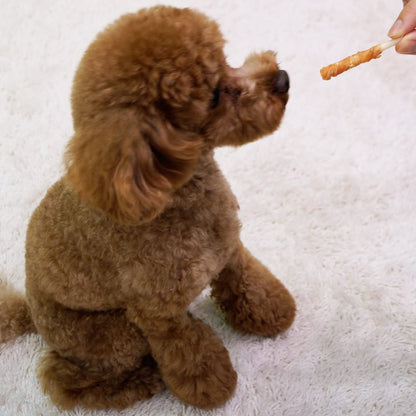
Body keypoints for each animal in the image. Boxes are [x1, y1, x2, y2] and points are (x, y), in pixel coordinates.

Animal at [1, 4, 298, 412]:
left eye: (226, 60)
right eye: (214, 96)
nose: (282, 78)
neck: (179, 197)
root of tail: (30, 315)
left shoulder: (229, 250)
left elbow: (249, 284)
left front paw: (273, 312)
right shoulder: (158, 314)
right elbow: (190, 353)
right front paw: (212, 388)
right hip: (111, 333)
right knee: (66, 382)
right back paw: (143, 380)